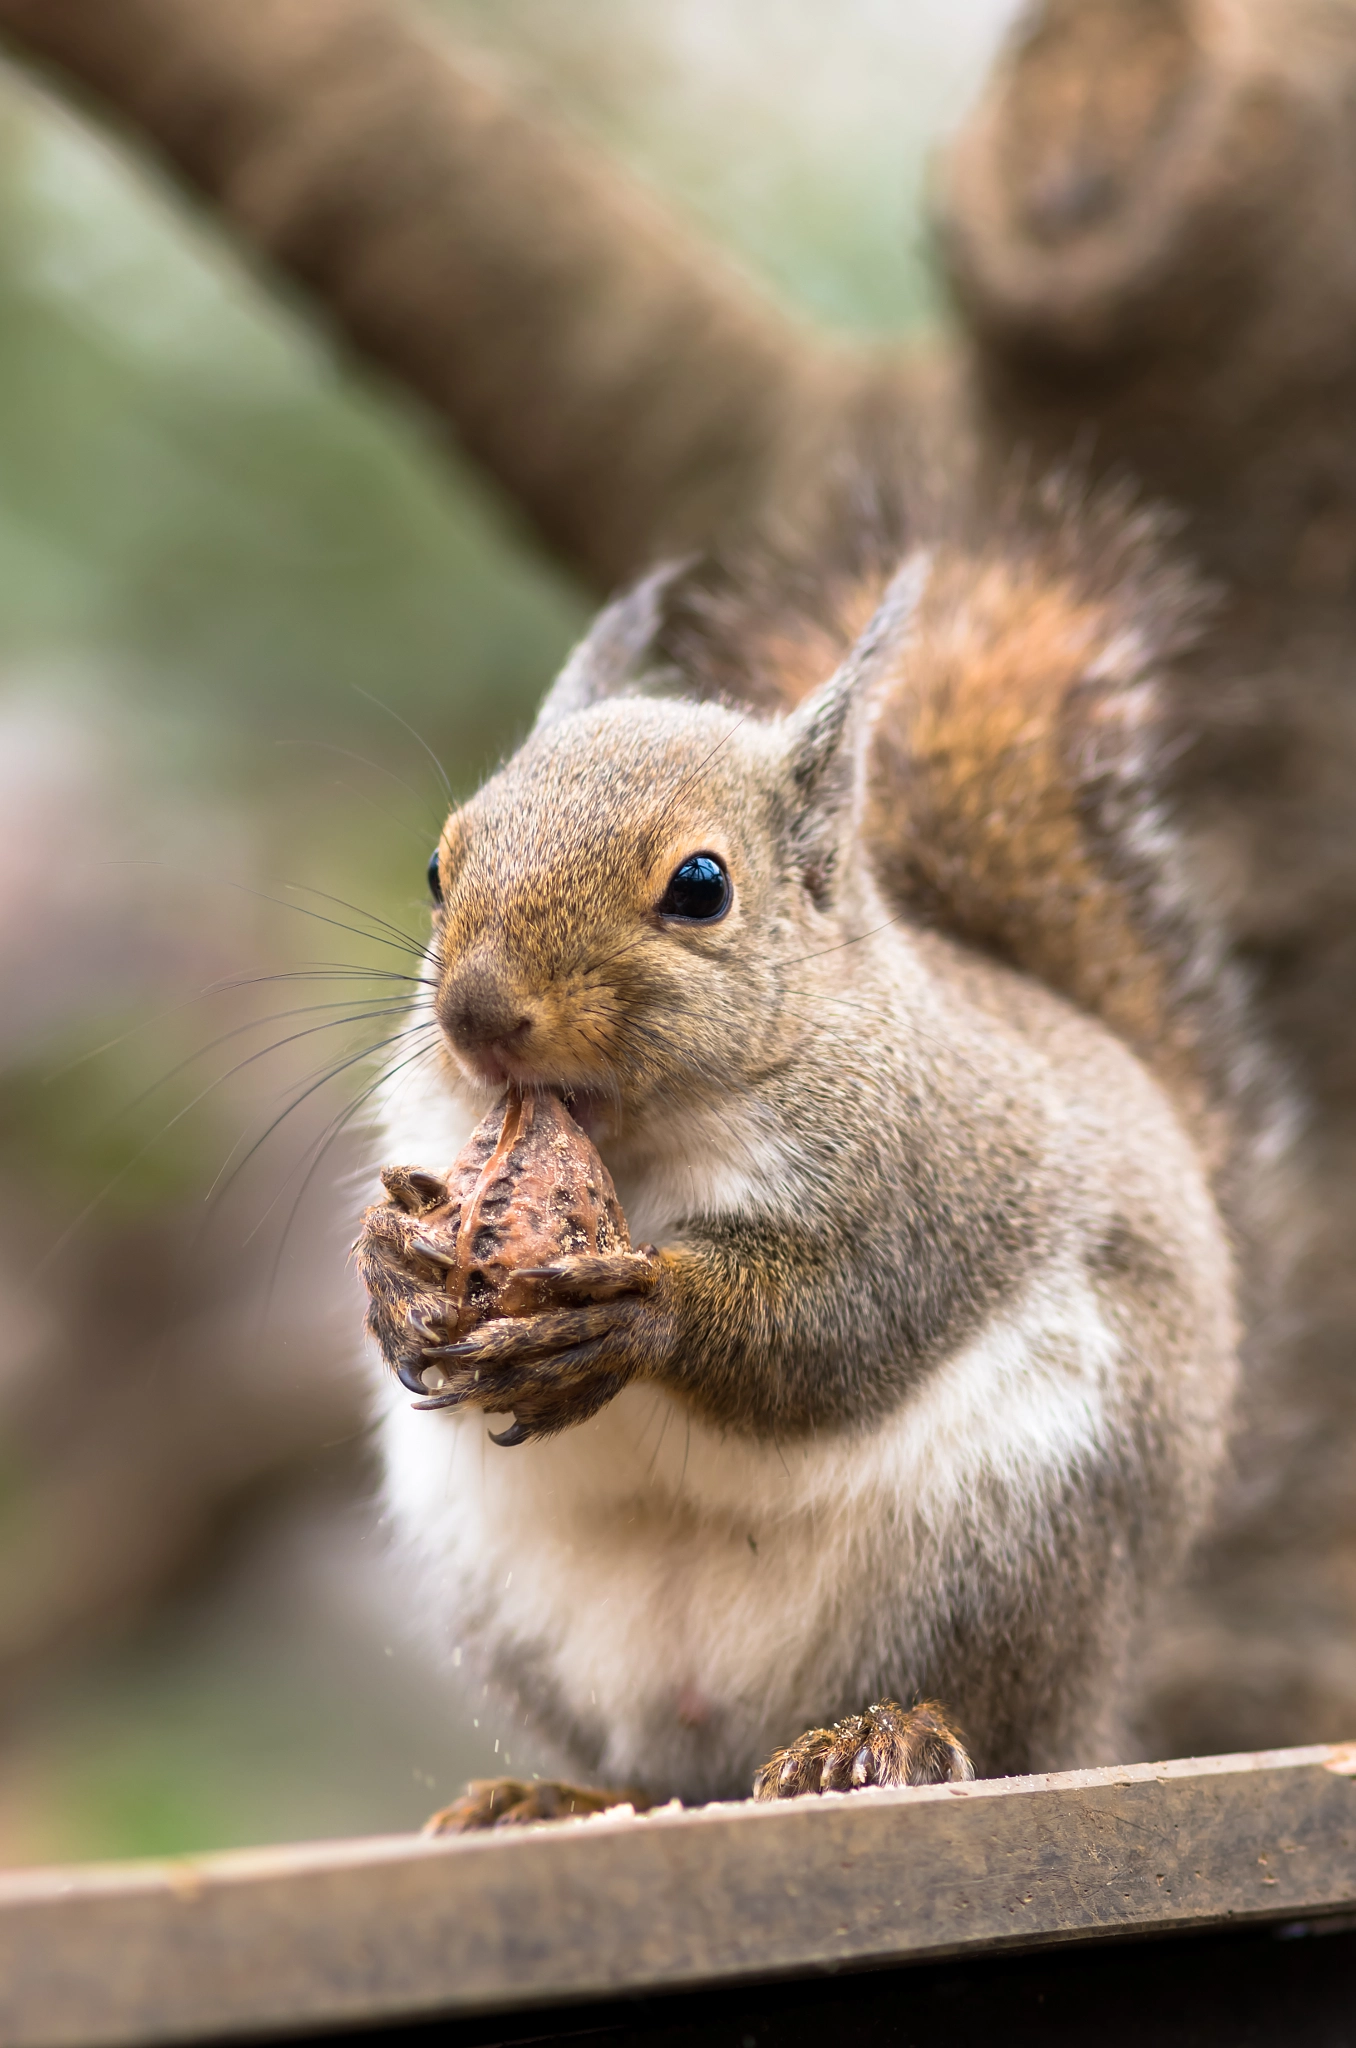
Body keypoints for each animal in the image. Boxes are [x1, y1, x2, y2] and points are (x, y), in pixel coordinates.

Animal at [358, 475, 1278, 1826]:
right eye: (438, 865)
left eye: (701, 885)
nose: (475, 1014)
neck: (634, 1142)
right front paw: (391, 1271)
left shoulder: (922, 1179)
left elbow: (837, 1326)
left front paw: (638, 1309)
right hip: (520, 1604)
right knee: (655, 1772)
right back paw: (558, 1797)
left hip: (1021, 1536)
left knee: (995, 1718)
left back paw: (880, 1737)